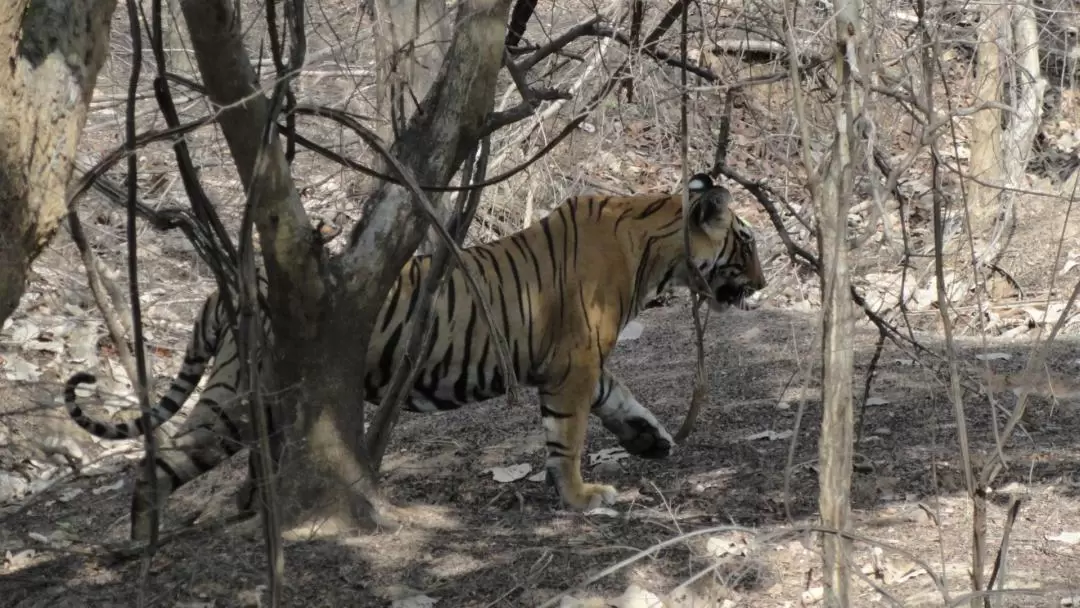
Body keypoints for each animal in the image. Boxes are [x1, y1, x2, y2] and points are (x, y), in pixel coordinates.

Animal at [65, 173, 768, 539]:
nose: (763, 285)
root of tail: (228, 288)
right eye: (748, 244)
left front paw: (651, 440)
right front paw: (579, 496)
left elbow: (618, 399)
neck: (658, 251)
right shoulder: (572, 363)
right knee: (161, 462)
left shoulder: (577, 362)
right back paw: (143, 545)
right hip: (239, 400)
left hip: (240, 394)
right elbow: (568, 435)